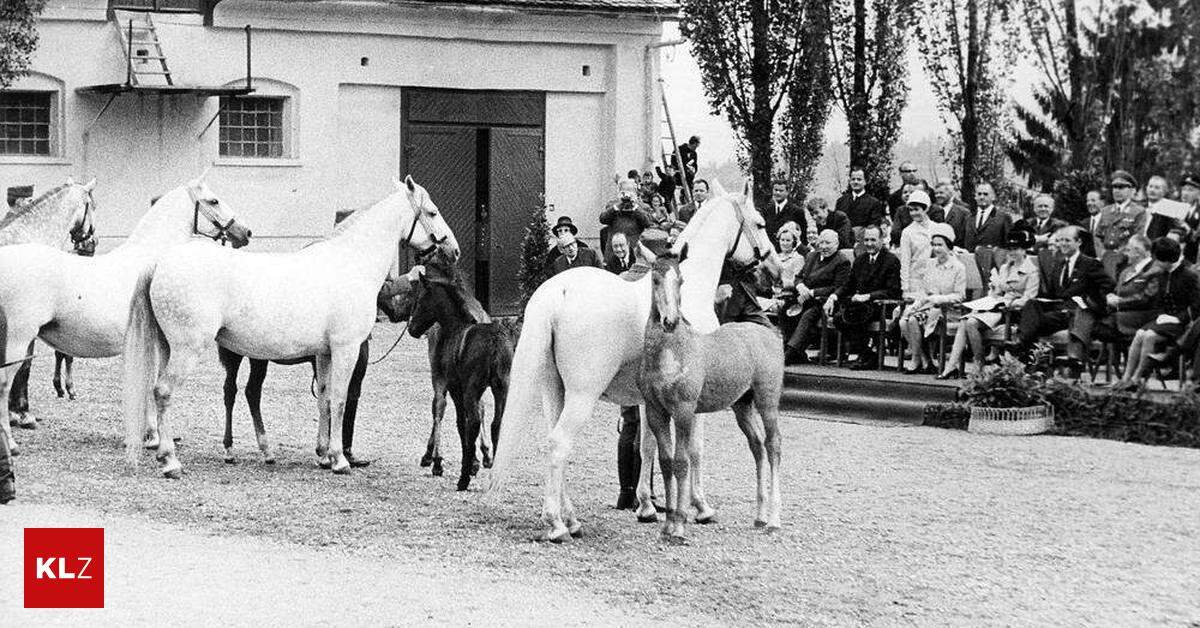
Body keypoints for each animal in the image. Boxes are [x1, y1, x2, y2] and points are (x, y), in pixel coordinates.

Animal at [0, 174, 248, 453]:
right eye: (213, 200)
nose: (245, 232)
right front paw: (152, 437)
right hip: (18, 341)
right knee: (4, 385)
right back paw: (11, 443)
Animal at [123, 174, 458, 480]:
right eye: (432, 213)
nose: (453, 251)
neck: (350, 263)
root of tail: (161, 262)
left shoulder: (324, 354)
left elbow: (324, 398)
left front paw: (323, 454)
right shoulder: (346, 349)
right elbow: (339, 399)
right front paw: (340, 460)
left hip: (169, 348)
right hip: (188, 350)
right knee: (164, 392)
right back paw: (171, 462)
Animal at [487, 184, 777, 542]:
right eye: (760, 223)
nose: (774, 271)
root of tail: (559, 291)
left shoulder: (650, 400)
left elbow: (647, 446)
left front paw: (647, 507)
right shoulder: (693, 399)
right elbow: (694, 450)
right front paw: (700, 507)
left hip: (555, 391)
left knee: (555, 444)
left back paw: (571, 520)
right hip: (582, 396)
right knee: (558, 445)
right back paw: (556, 525)